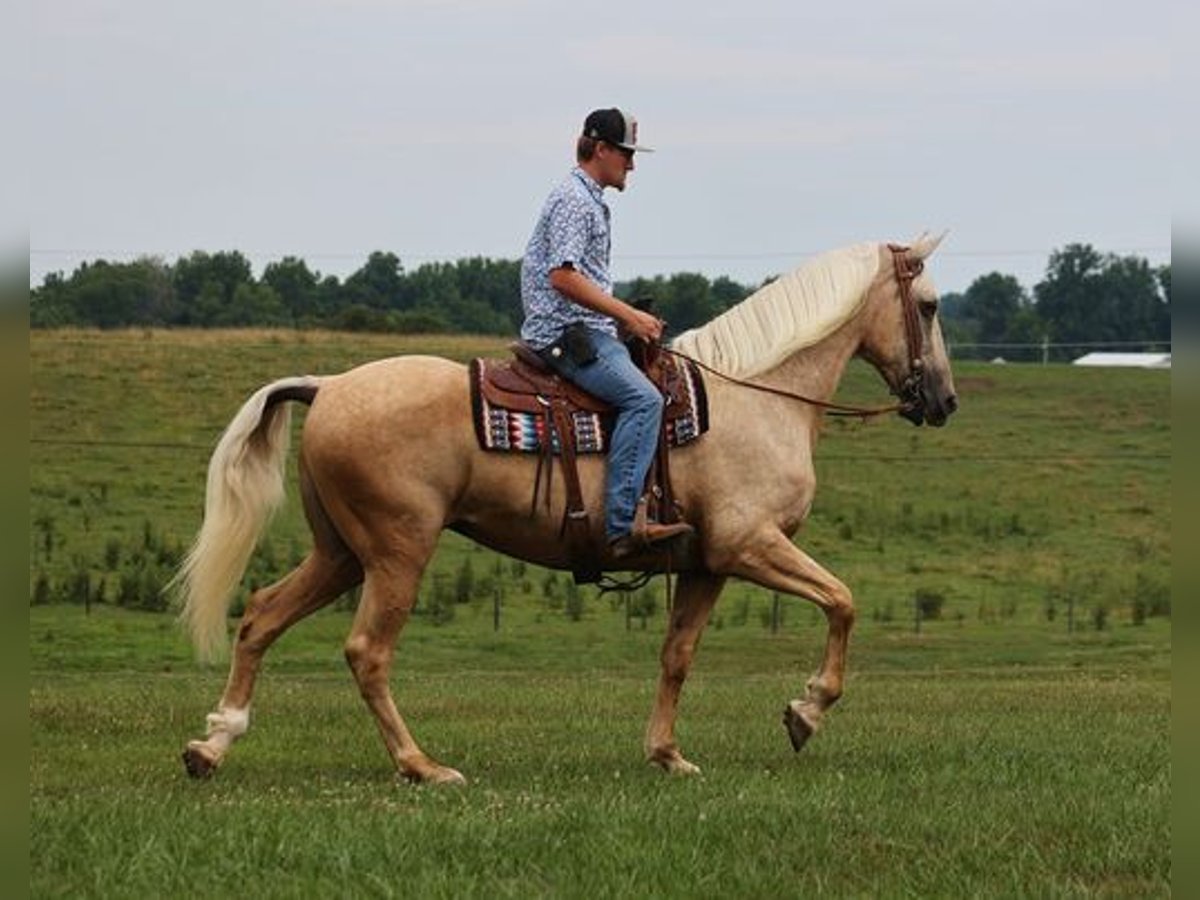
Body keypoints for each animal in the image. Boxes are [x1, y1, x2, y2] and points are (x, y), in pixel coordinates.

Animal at [174, 235, 957, 784]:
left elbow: (677, 655)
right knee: (367, 651)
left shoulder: (705, 564)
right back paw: (423, 766)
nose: (944, 400)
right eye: (928, 305)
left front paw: (667, 754)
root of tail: (328, 385)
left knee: (261, 616)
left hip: (340, 553)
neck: (755, 397)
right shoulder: (749, 545)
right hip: (397, 552)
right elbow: (843, 601)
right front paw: (805, 712)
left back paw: (211, 745)